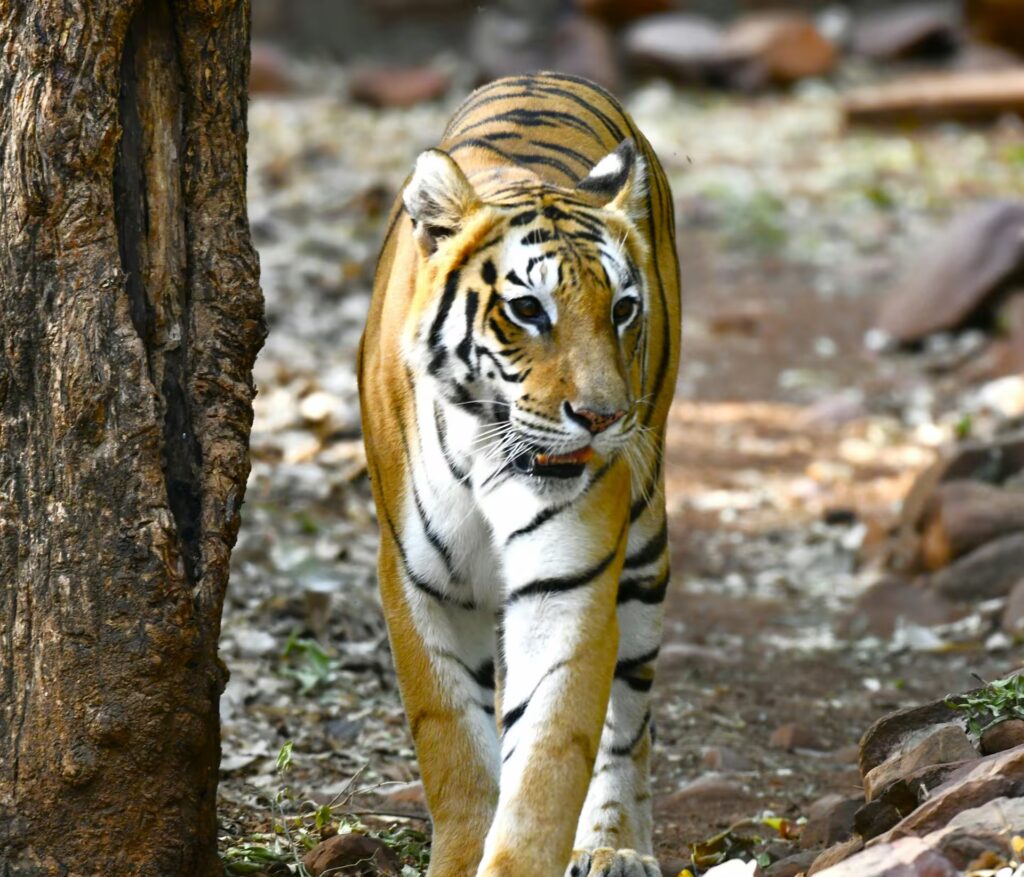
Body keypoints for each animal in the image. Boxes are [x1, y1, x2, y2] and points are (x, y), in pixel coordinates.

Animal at [358, 72, 681, 877]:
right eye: (528, 309)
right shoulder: (417, 581)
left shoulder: (568, 582)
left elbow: (548, 756)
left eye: (623, 309)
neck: (484, 450)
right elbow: (455, 750)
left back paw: (614, 847)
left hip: (645, 538)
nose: (601, 416)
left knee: (630, 720)